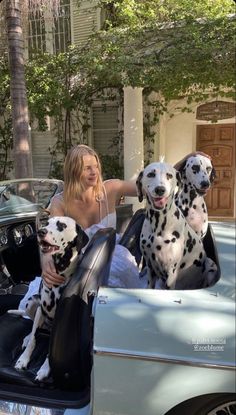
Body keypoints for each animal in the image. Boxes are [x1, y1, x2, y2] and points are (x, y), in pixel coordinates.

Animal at [8, 218, 88, 384]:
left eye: (61, 225)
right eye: (47, 222)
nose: (41, 231)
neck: (60, 272)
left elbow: (52, 350)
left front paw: (45, 369)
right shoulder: (42, 309)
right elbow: (33, 339)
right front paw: (23, 360)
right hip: (32, 303)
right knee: (33, 327)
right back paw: (26, 338)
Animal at [136, 161, 218, 290]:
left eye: (169, 175)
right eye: (150, 174)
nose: (160, 189)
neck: (158, 225)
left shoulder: (171, 273)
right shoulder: (151, 268)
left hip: (210, 264)